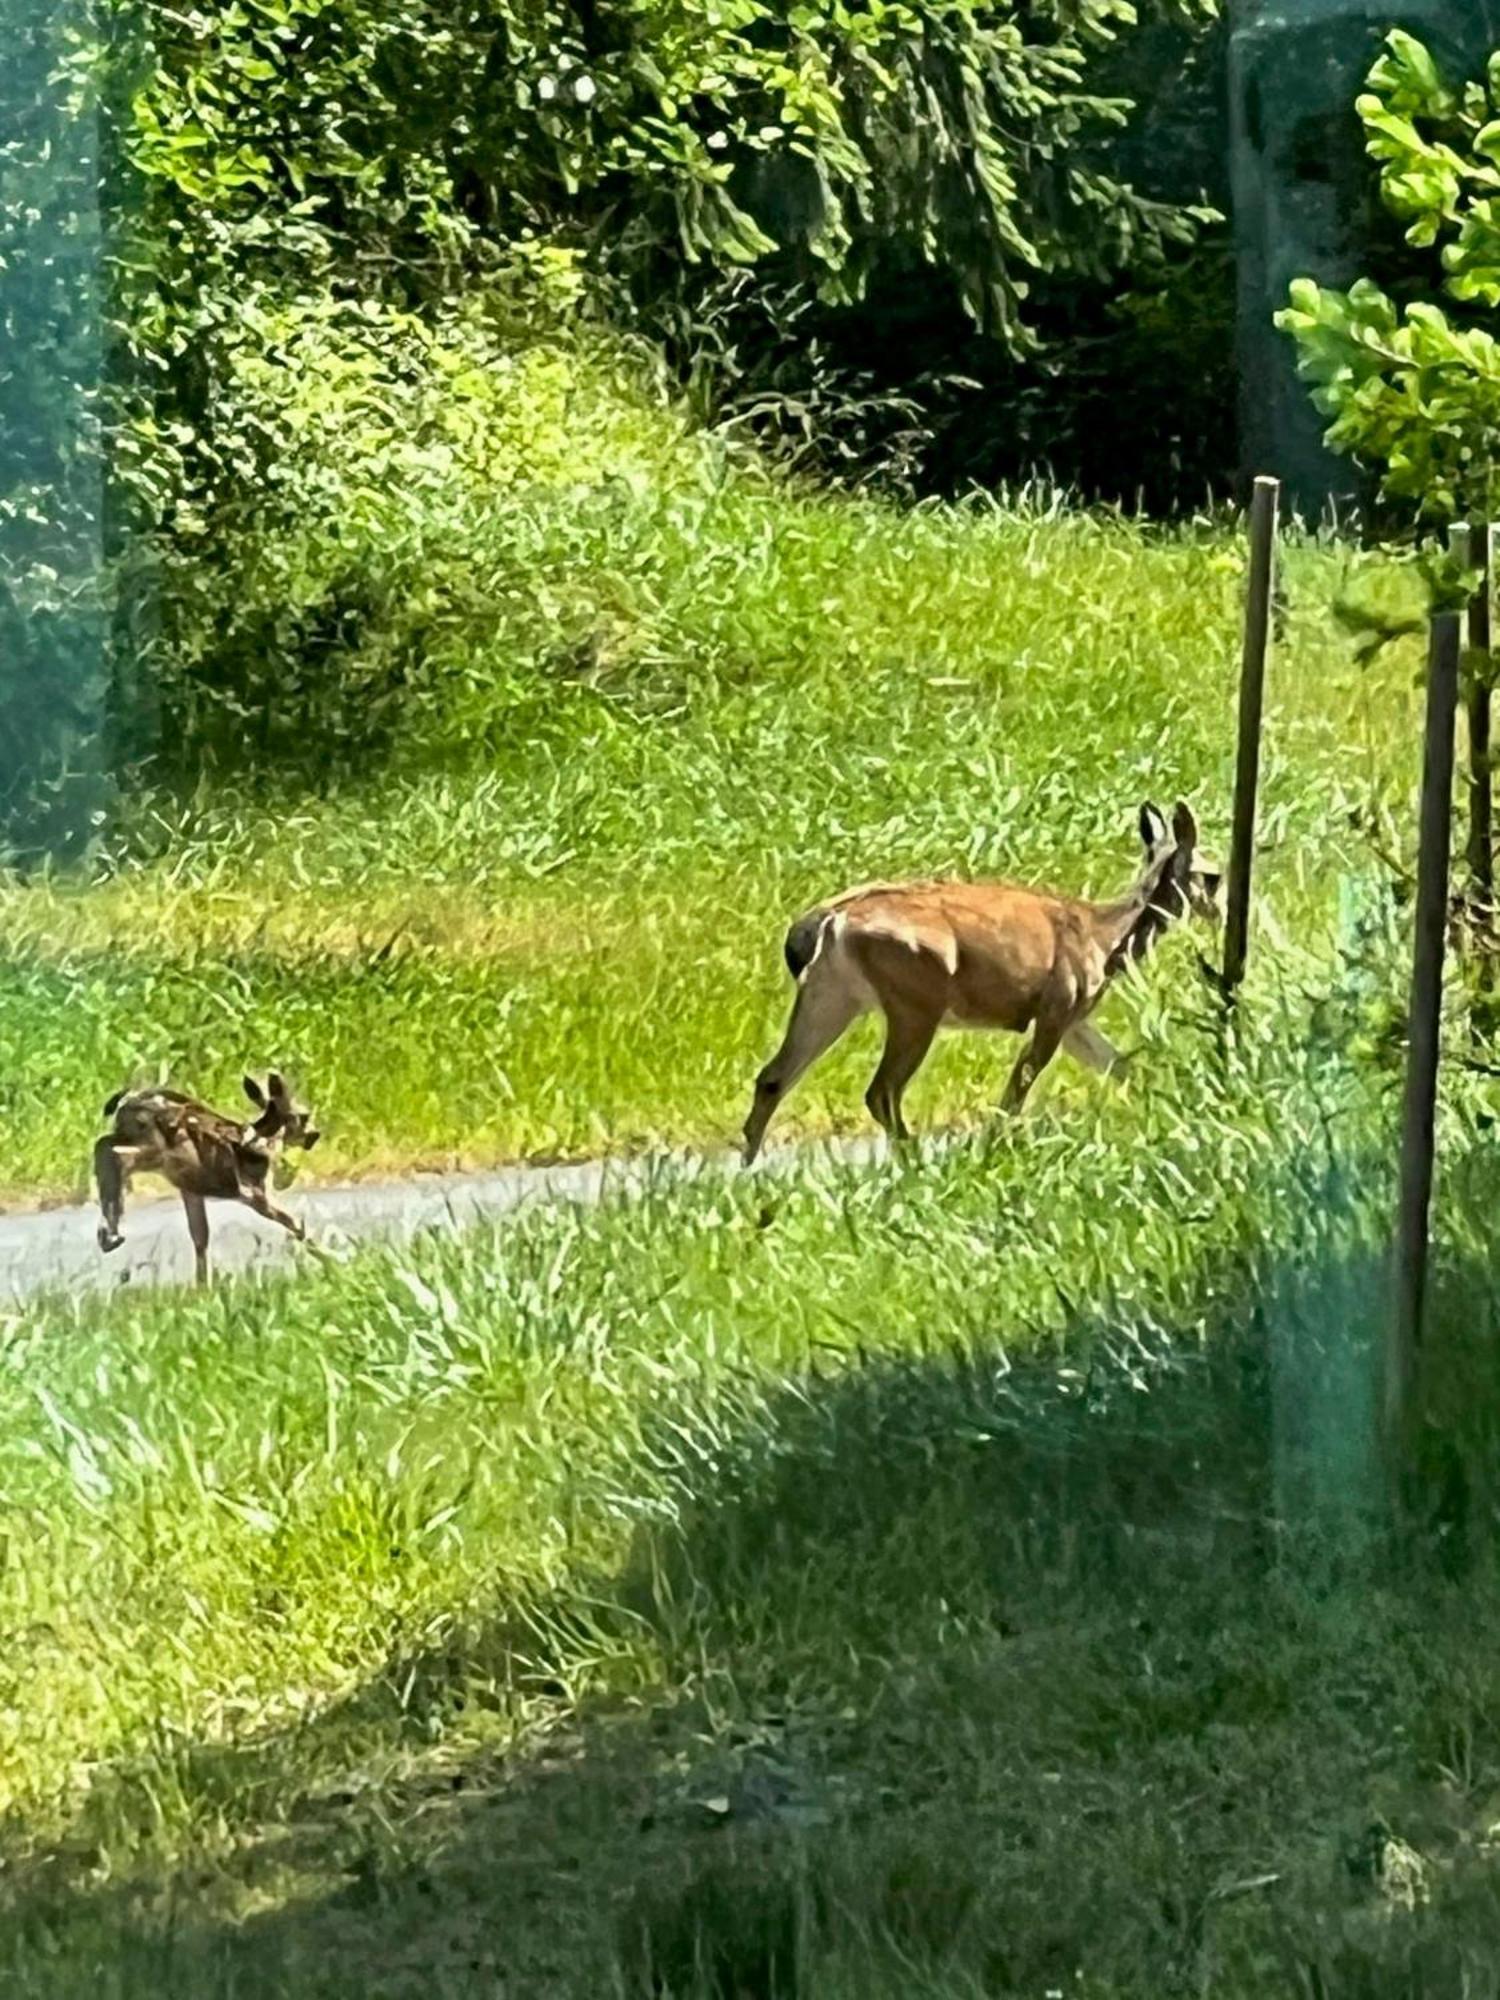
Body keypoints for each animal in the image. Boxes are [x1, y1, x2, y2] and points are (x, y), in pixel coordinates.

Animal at [92, 1080, 322, 1280]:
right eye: (304, 1116)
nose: (315, 1135)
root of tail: (128, 1100)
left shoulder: (191, 1189)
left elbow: (200, 1236)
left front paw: (202, 1286)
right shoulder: (253, 1190)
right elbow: (295, 1223)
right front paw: (325, 1259)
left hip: (142, 1145)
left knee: (104, 1145)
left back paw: (108, 1233)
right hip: (163, 1149)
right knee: (113, 1152)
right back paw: (111, 1235)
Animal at [740, 800, 1224, 1168]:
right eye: (1213, 875)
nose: (1220, 911)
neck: (1104, 940)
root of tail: (831, 920)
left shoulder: (1075, 1020)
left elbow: (1124, 1067)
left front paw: (1169, 1111)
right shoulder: (1056, 1007)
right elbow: (1021, 1083)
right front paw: (998, 1146)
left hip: (832, 995)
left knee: (773, 1078)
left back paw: (751, 1170)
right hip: (915, 1000)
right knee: (881, 1091)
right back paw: (912, 1162)